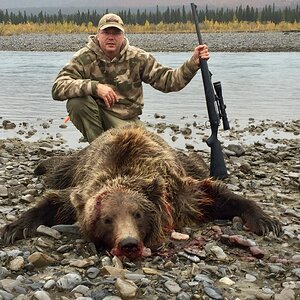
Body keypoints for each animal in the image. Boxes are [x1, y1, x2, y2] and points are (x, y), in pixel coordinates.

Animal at [0, 125, 282, 258]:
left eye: (137, 214)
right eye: (106, 219)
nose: (128, 243)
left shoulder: (179, 194)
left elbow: (213, 194)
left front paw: (266, 221)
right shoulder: (82, 189)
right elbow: (54, 202)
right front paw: (13, 228)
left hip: (189, 162)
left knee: (198, 163)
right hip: (76, 164)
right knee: (58, 171)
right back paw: (41, 165)